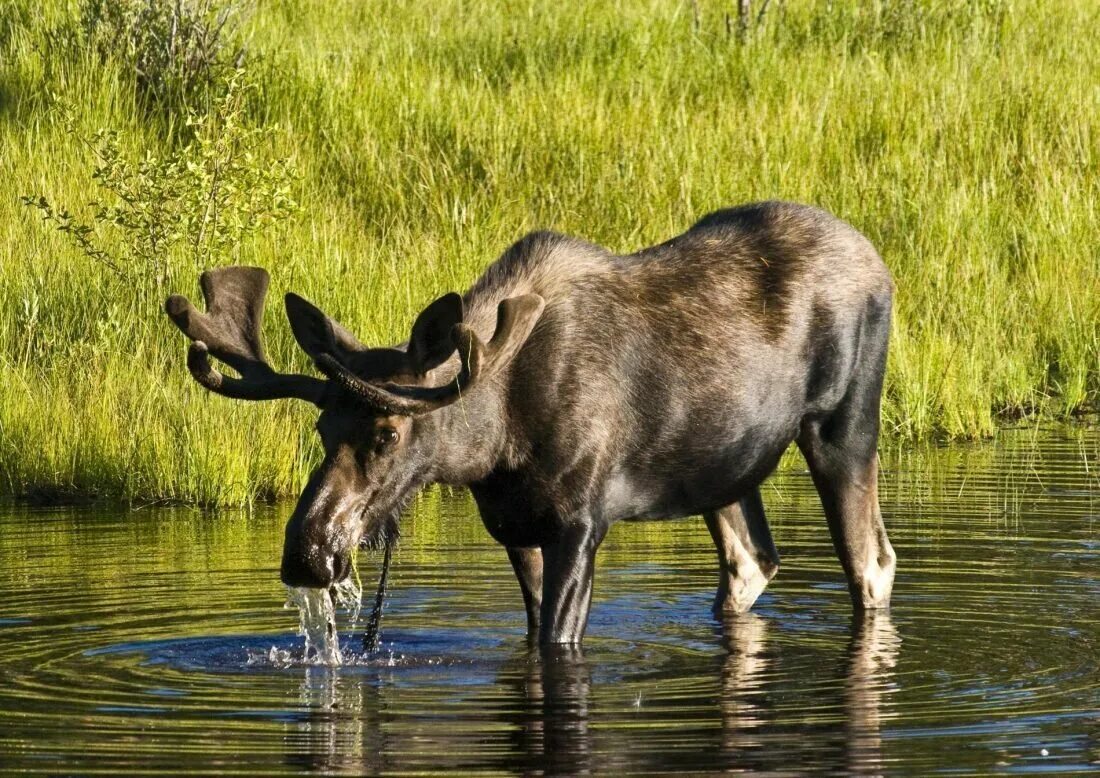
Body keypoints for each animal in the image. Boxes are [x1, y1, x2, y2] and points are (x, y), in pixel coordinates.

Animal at [167, 199, 897, 647]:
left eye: (388, 434)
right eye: (321, 431)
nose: (306, 552)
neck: (494, 445)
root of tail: (881, 261)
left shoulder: (582, 523)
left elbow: (556, 642)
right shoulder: (515, 528)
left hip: (843, 425)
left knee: (872, 563)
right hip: (723, 466)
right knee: (753, 560)